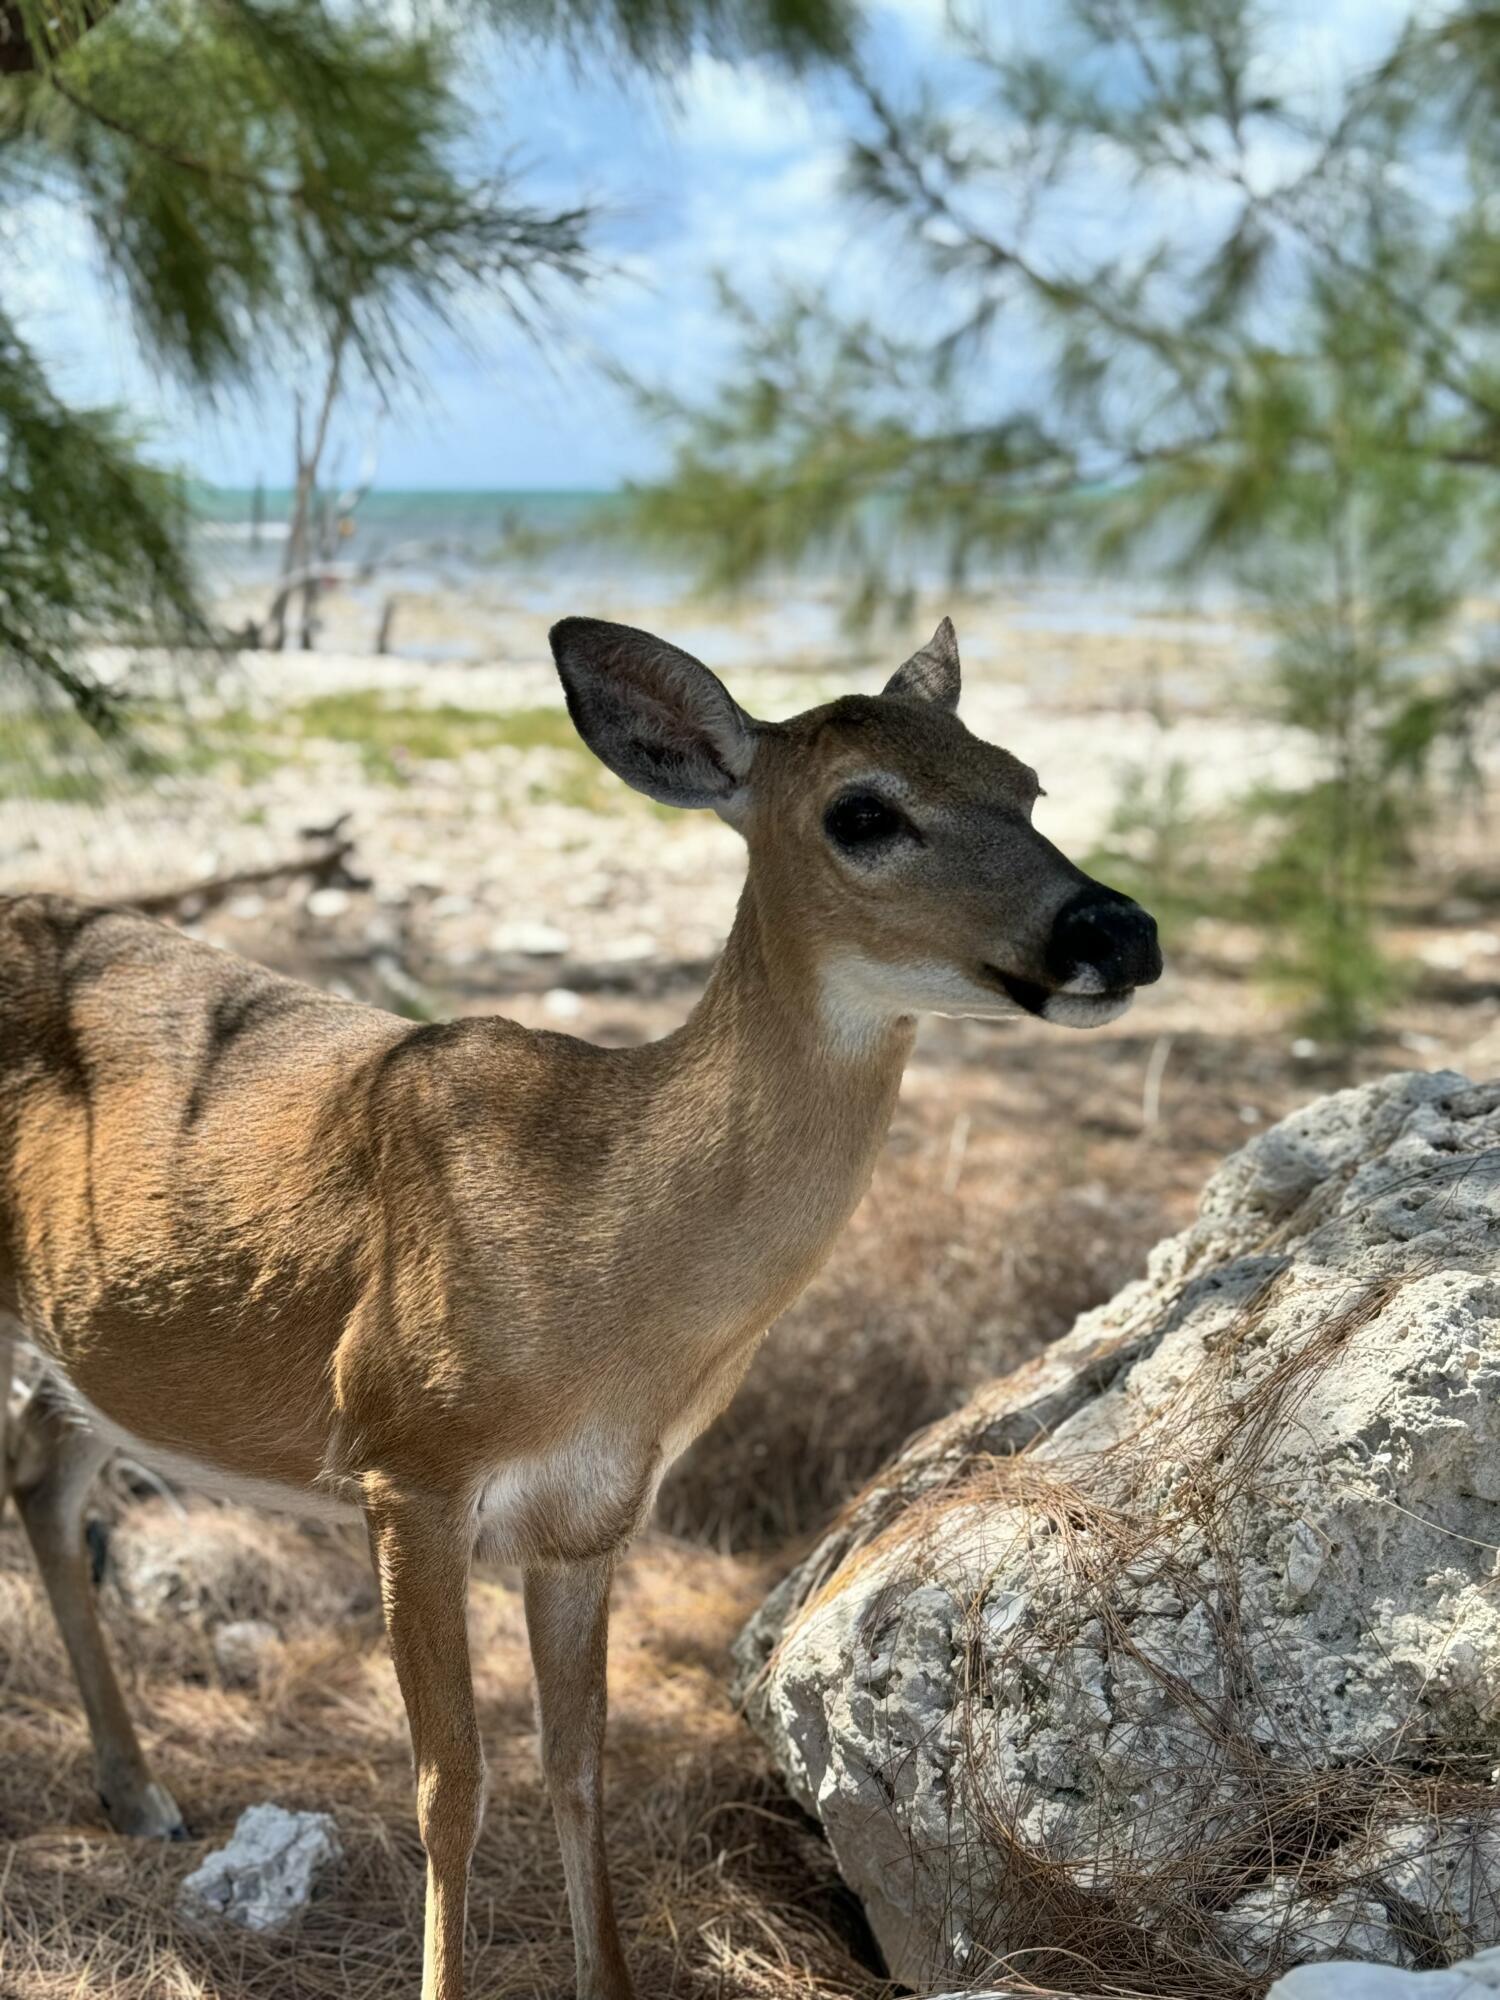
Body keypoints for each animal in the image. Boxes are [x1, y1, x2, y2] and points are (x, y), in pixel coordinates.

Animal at [0, 615, 1161, 2000]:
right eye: (864, 810)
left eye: (1024, 781)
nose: (1121, 928)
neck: (606, 1278)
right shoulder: (407, 1455)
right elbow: (451, 1783)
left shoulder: (591, 1514)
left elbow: (580, 1763)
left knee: (45, 1470)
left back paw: (138, 1793)